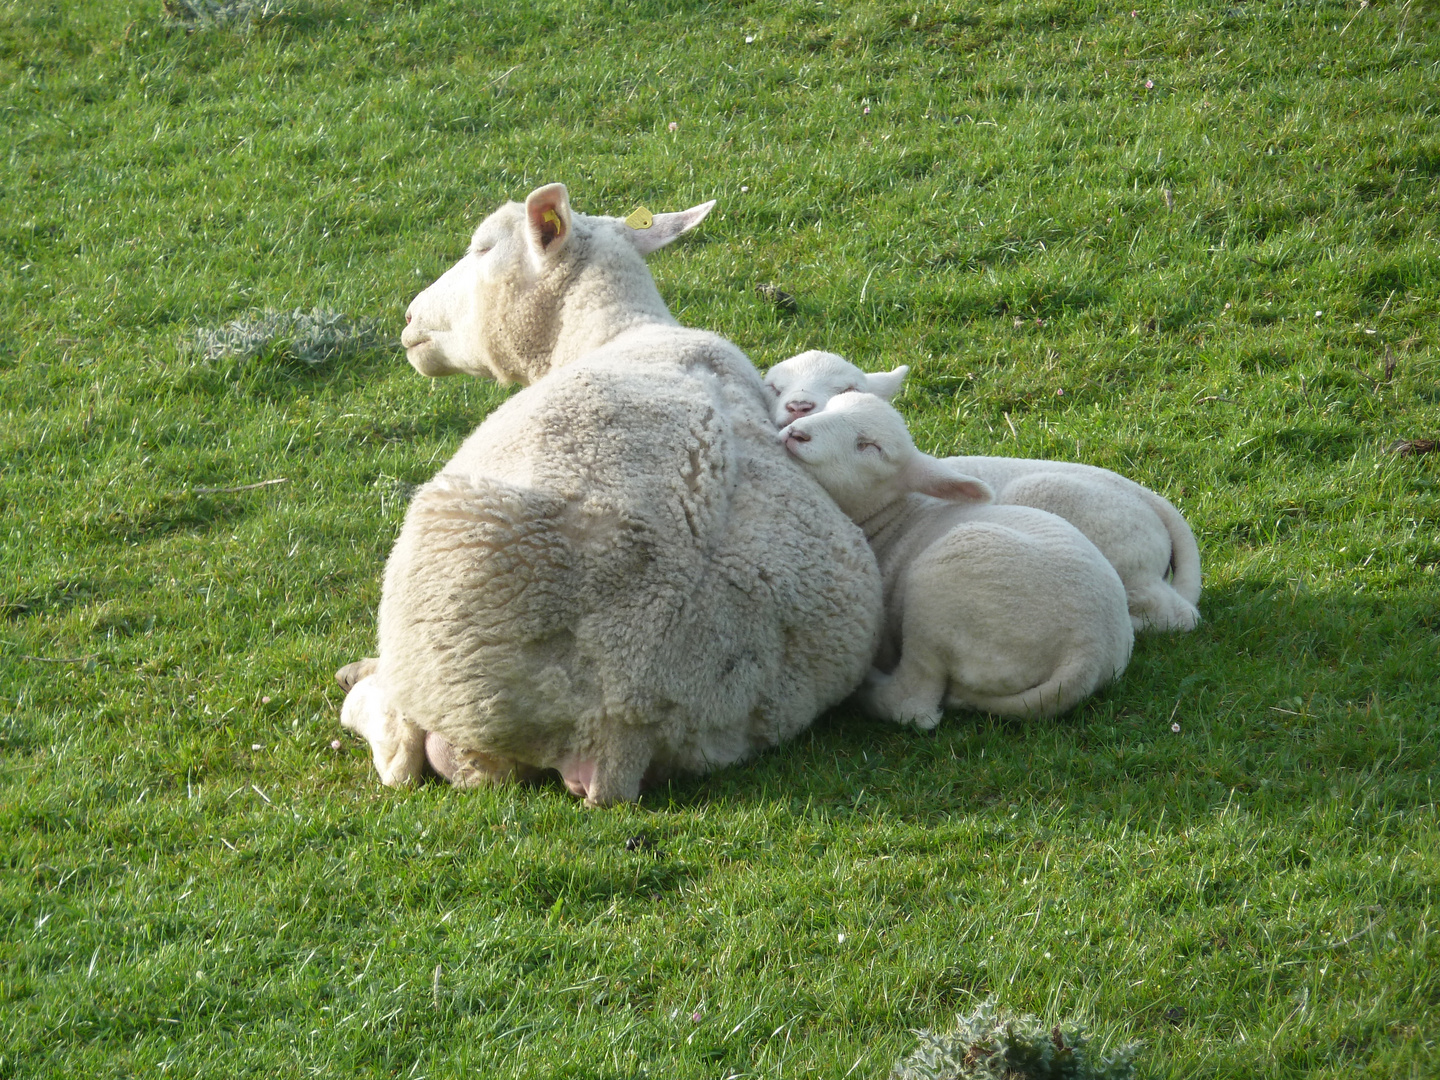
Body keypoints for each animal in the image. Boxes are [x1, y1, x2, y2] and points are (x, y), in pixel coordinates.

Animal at [342, 185, 881, 806]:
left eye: (483, 247)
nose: (409, 318)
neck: (610, 329)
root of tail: (625, 722)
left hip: (440, 660)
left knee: (400, 753)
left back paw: (361, 685)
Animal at [783, 391, 1128, 728]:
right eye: (829, 406)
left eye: (870, 446)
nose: (796, 434)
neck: (891, 518)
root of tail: (1086, 654)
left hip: (939, 594)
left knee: (913, 703)